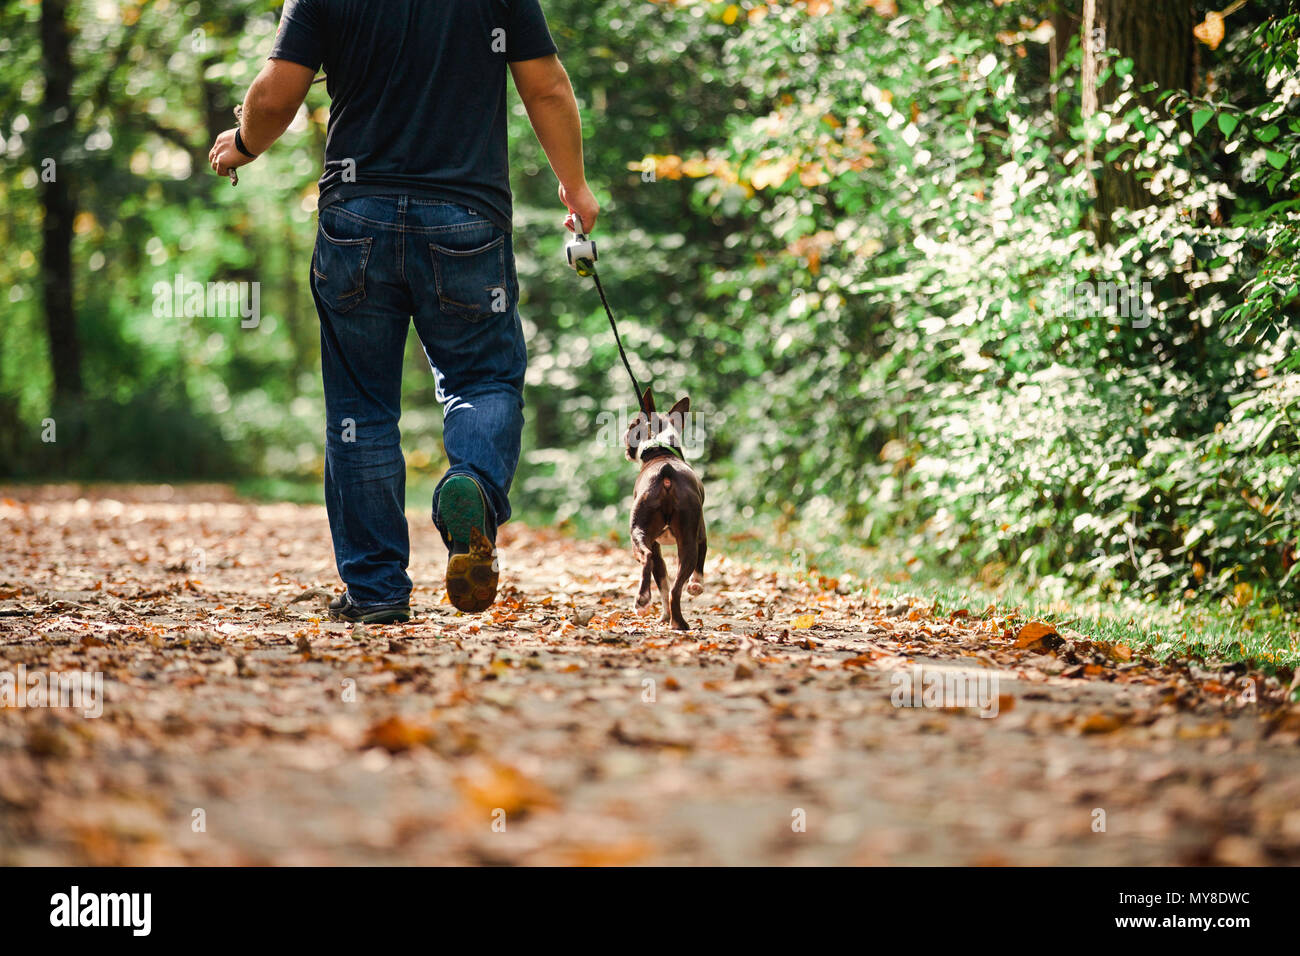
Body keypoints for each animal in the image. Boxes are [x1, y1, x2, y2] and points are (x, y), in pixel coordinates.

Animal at [624, 390, 707, 629]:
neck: (660, 448)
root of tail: (666, 472)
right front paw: (696, 586)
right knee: (675, 588)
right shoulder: (701, 534)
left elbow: (661, 580)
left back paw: (643, 601)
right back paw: (679, 622)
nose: (624, 435)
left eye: (631, 425)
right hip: (687, 540)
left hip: (639, 533)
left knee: (648, 558)